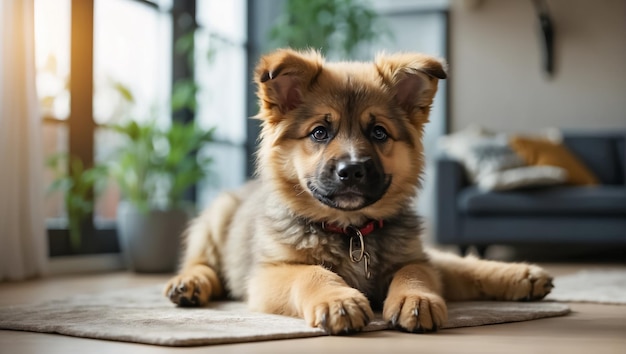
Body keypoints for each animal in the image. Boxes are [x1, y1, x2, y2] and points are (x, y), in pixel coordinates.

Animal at [165, 49, 552, 334]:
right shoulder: (268, 273)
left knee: (456, 263)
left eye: (378, 132)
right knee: (200, 262)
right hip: (215, 219)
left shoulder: (411, 256)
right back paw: (189, 284)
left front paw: (417, 299)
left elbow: (420, 270)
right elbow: (312, 272)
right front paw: (338, 301)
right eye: (320, 132)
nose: (351, 171)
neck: (352, 231)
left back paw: (524, 276)